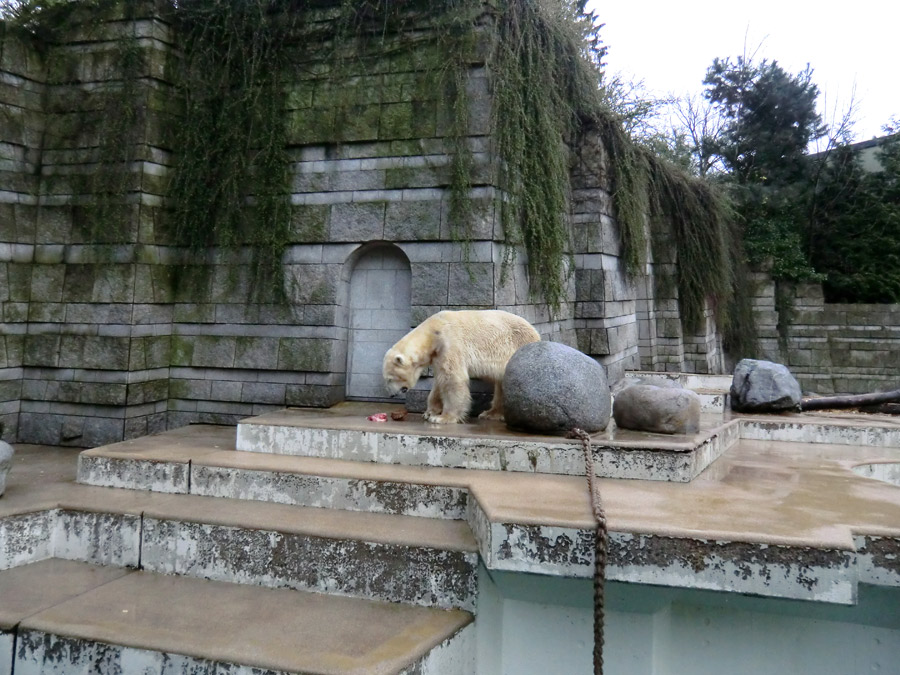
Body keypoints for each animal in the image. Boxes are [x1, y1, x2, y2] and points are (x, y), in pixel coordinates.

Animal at [382, 310, 536, 426]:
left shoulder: (450, 344)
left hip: (516, 348)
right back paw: (490, 414)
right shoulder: (438, 354)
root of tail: (535, 333)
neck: (433, 332)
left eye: (389, 379)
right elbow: (440, 381)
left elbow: (452, 379)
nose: (391, 395)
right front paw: (429, 412)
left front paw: (442, 417)